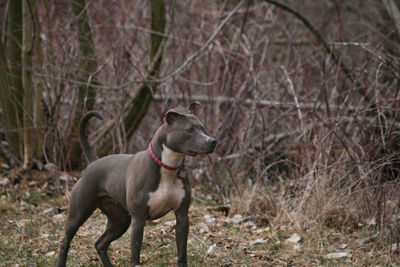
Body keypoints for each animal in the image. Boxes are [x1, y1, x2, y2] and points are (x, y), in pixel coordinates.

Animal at [57, 104, 216, 267]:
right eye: (189, 130)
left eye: (203, 128)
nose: (213, 141)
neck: (167, 166)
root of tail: (94, 161)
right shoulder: (139, 220)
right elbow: (135, 255)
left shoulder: (182, 217)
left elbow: (182, 253)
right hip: (78, 214)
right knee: (65, 242)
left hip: (120, 221)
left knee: (100, 244)